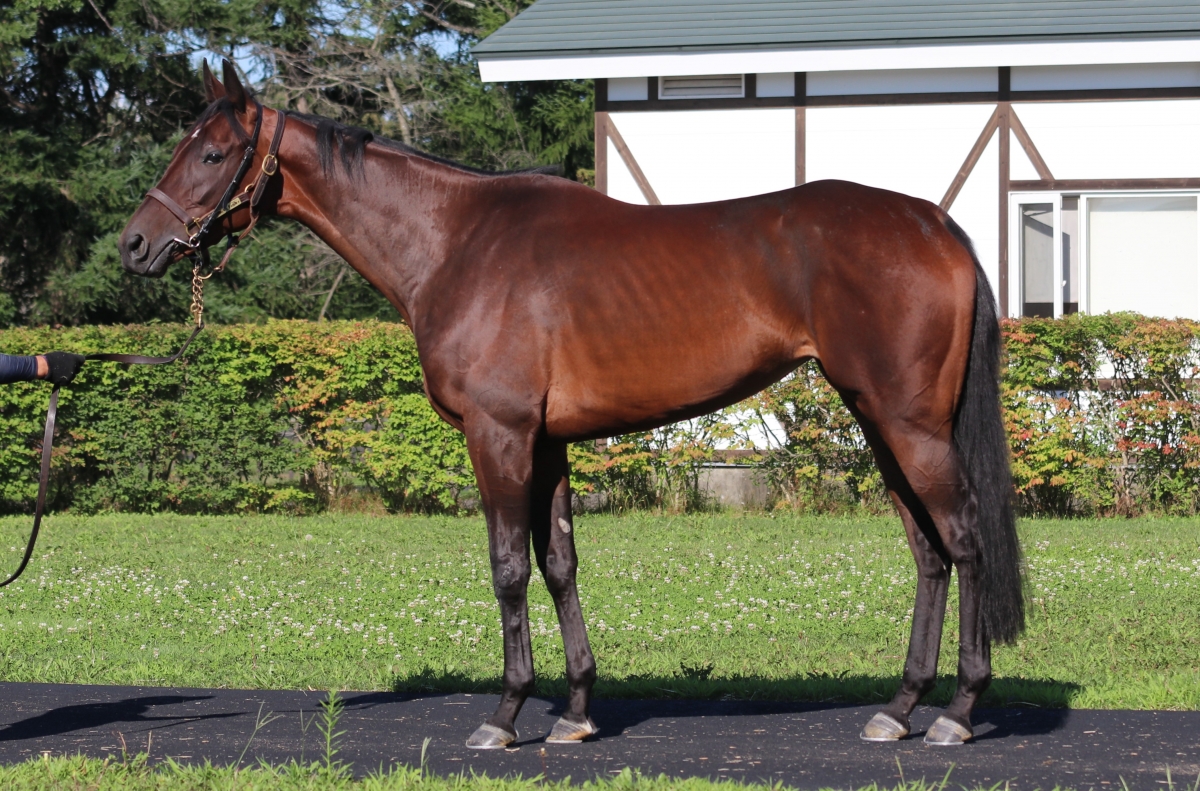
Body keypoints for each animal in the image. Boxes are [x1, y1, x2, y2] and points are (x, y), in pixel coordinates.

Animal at [118, 61, 1023, 748]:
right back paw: (899, 708)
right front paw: (578, 712)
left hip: (909, 426)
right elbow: (559, 564)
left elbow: (509, 570)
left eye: (214, 153)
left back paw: (958, 710)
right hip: (881, 424)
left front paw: (505, 715)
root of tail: (936, 223)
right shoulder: (546, 442)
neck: (455, 242)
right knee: (929, 552)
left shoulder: (499, 437)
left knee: (964, 539)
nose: (135, 244)